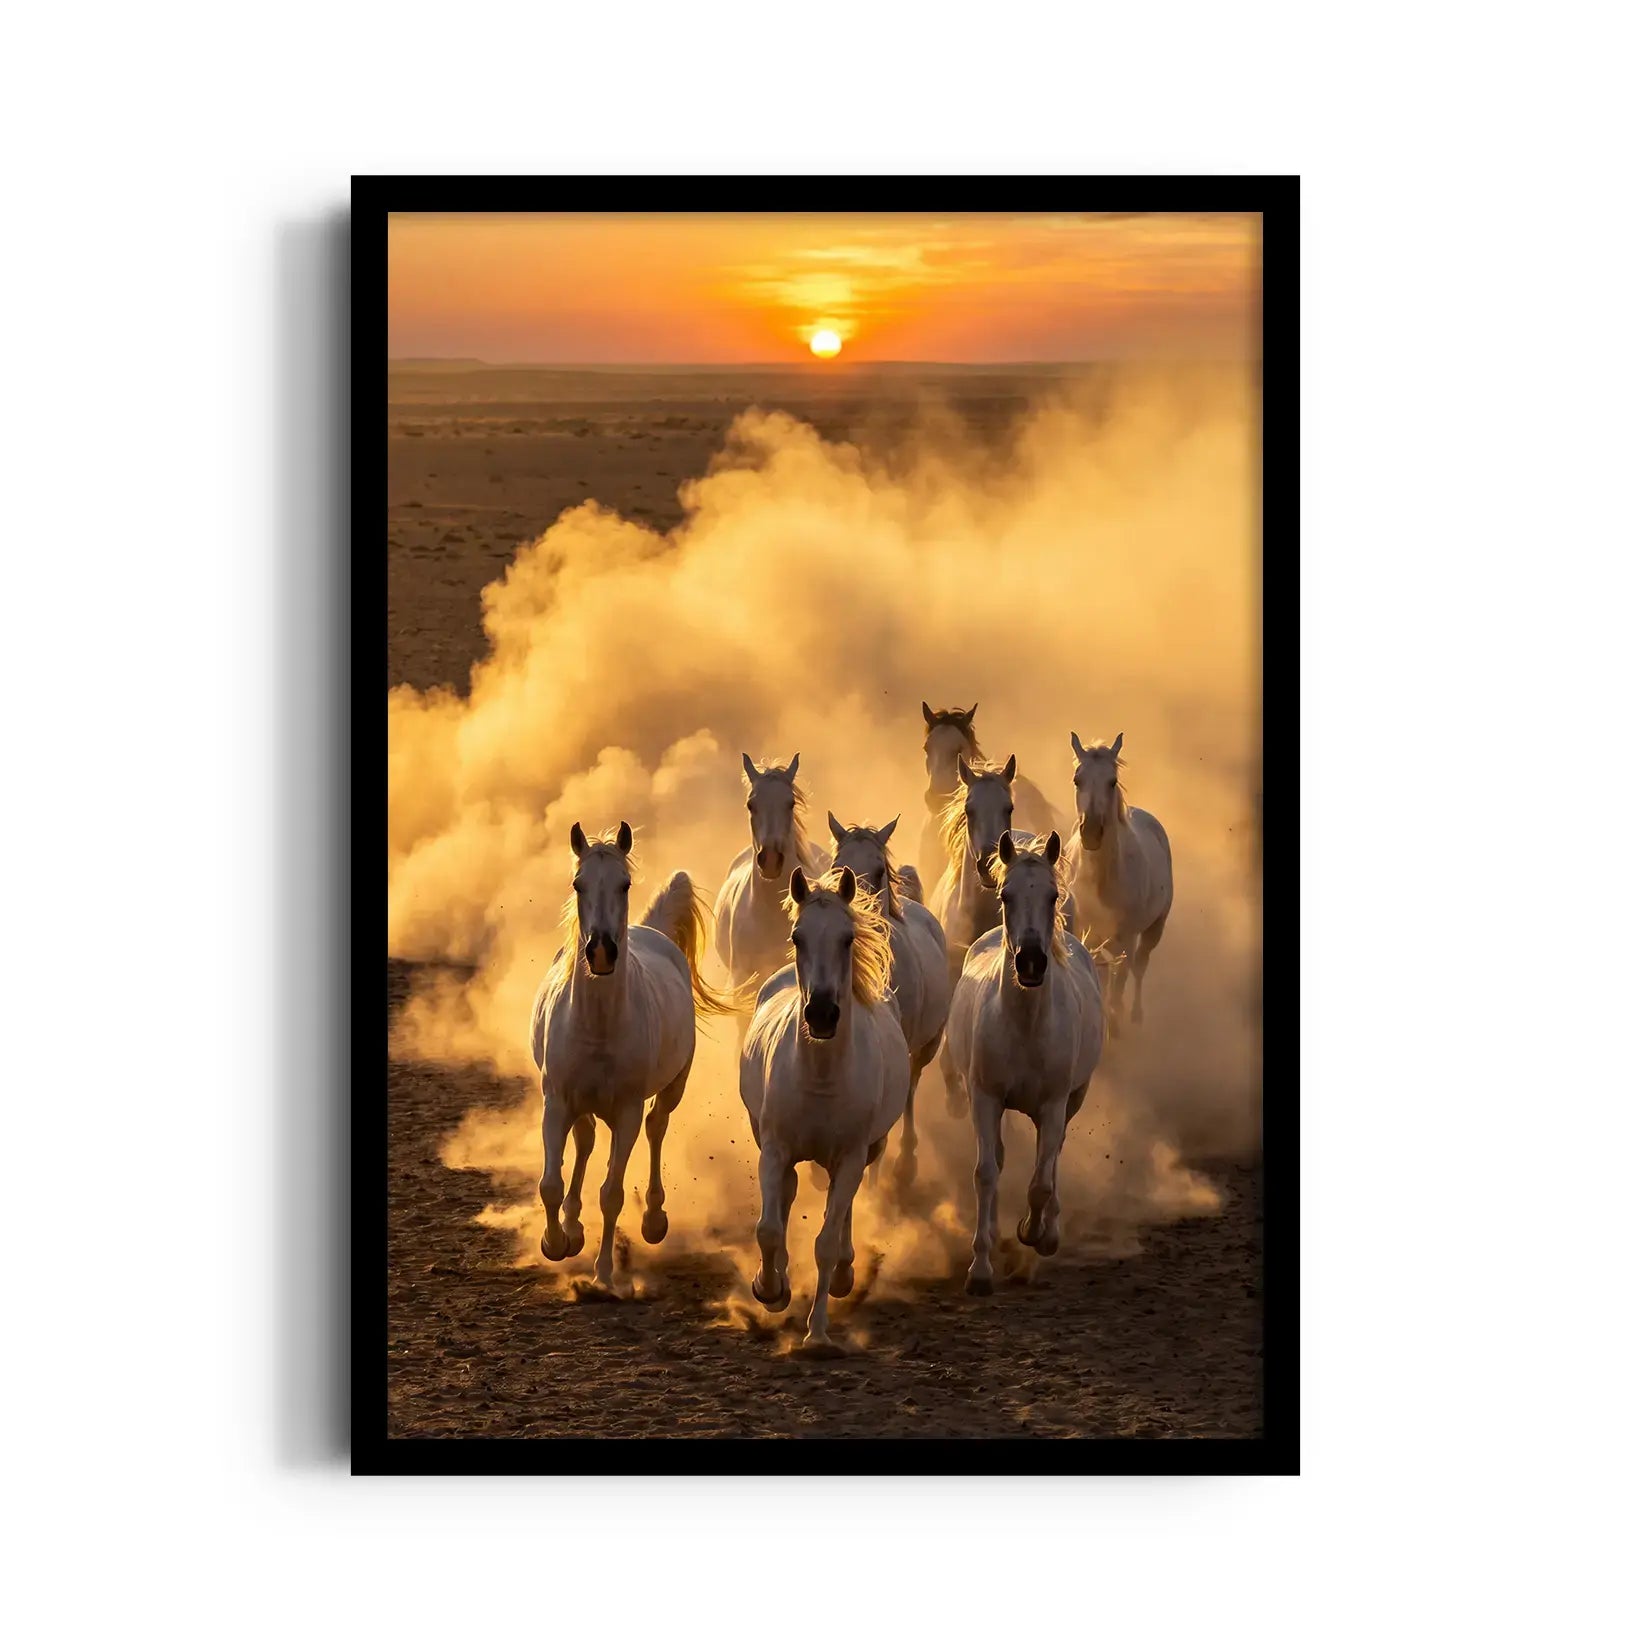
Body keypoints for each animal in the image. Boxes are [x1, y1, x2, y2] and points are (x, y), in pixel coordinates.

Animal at [530, 821, 734, 1293]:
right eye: (578, 883)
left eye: (623, 883)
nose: (602, 951)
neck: (599, 1027)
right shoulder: (557, 1102)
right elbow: (551, 1183)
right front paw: (555, 1241)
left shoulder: (626, 1113)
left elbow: (612, 1193)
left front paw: (604, 1272)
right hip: (580, 1106)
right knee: (585, 1141)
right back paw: (572, 1227)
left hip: (672, 1088)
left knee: (657, 1128)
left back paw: (654, 1220)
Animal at [738, 866, 909, 1355]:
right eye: (798, 937)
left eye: (847, 938)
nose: (822, 1014)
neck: (820, 1077)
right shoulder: (774, 1149)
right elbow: (769, 1229)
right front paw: (770, 1289)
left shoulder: (850, 1156)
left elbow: (827, 1241)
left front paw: (816, 1333)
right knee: (789, 1193)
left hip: (868, 1150)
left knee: (843, 1207)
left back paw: (846, 1274)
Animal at [942, 830, 1105, 1295]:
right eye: (1006, 895)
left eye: (1052, 896)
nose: (1030, 962)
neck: (1025, 1026)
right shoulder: (985, 1098)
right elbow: (986, 1172)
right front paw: (980, 1268)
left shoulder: (1053, 1104)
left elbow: (1040, 1183)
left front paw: (1034, 1233)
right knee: (999, 1159)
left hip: (1073, 1099)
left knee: (1053, 1157)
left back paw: (1047, 1231)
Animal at [1070, 732, 1173, 1029]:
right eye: (1077, 780)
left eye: (1112, 781)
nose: (1092, 833)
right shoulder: (1085, 931)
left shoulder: (1127, 936)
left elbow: (1121, 979)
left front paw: (1115, 1020)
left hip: (1152, 929)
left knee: (1138, 967)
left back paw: (1135, 1014)